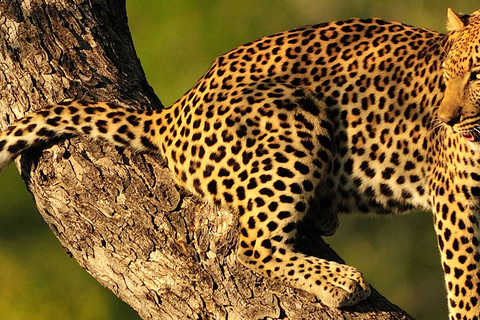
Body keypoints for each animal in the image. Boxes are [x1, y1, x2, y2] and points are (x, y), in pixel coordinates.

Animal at [0, 5, 480, 320]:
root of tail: (173, 111)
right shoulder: (457, 205)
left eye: (473, 75)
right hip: (293, 120)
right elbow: (467, 284)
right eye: (447, 75)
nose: (445, 120)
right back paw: (340, 281)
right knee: (255, 244)